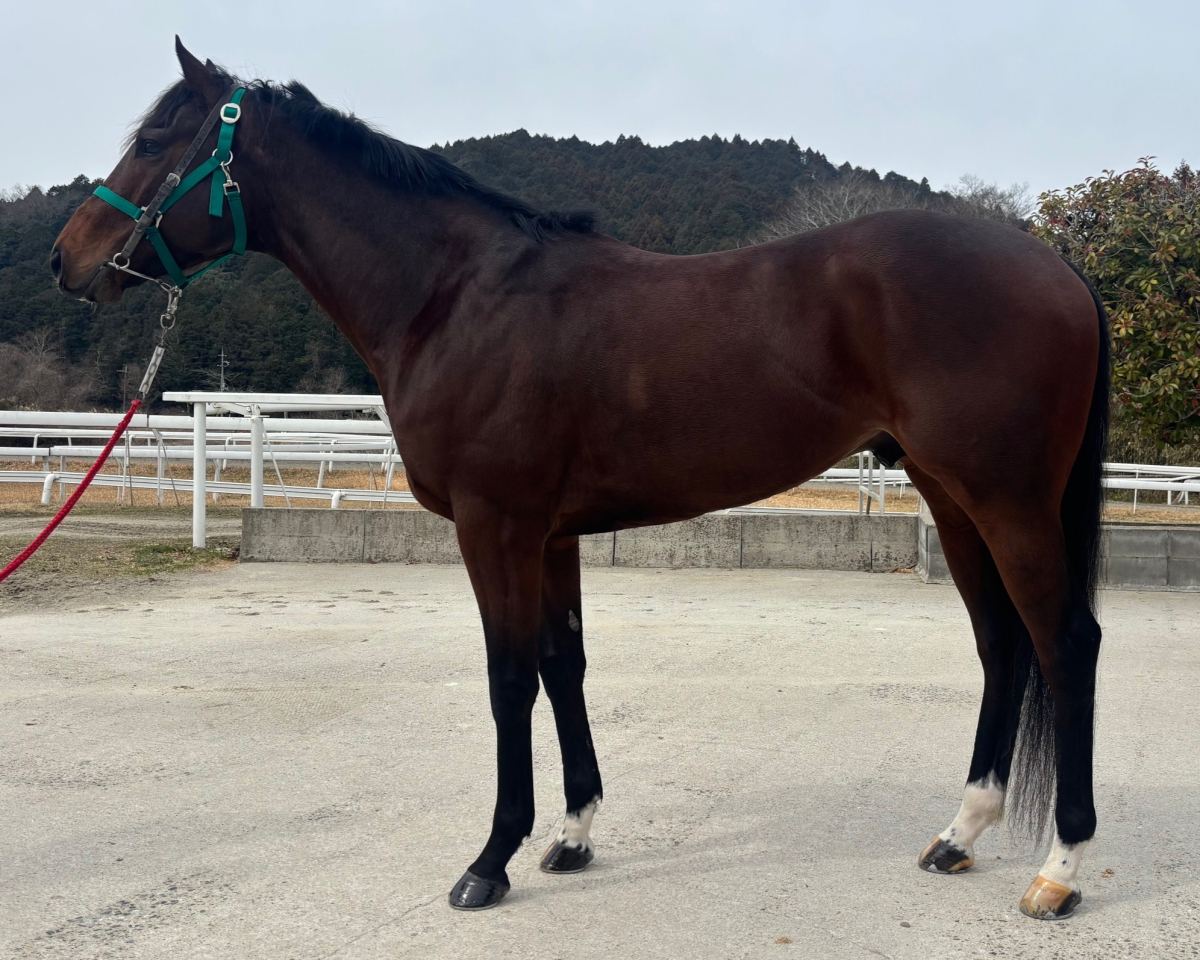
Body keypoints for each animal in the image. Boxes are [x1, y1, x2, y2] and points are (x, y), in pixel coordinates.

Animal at [51, 39, 1109, 920]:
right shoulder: (550, 534)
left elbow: (507, 677)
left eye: (156, 138)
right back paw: (959, 834)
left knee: (1065, 643)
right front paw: (571, 837)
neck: (453, 297)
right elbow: (565, 666)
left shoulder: (495, 526)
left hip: (1006, 499)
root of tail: (1054, 265)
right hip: (950, 496)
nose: (68, 259)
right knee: (1001, 645)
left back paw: (1059, 871)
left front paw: (490, 861)